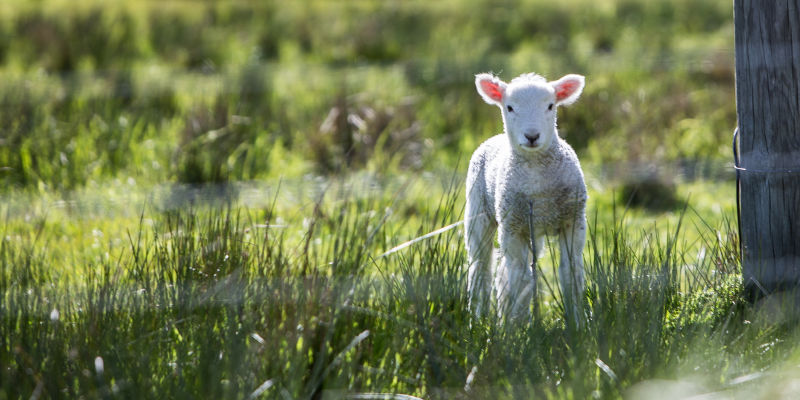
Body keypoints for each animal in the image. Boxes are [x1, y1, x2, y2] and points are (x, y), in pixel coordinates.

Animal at [466, 72, 592, 322]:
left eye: (551, 106)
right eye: (510, 107)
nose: (532, 136)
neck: (536, 178)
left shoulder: (573, 221)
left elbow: (570, 274)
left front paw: (577, 323)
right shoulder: (513, 227)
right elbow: (520, 279)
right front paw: (516, 327)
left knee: (506, 272)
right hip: (478, 213)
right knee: (481, 269)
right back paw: (478, 318)